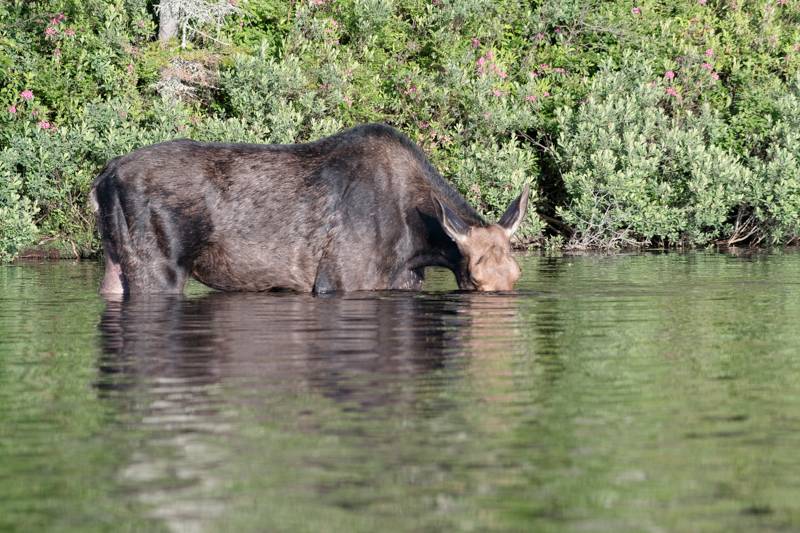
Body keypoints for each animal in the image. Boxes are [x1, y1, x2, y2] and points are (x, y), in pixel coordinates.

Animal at [90, 122, 528, 294]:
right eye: (474, 278)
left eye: (517, 274)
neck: (421, 246)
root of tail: (103, 176)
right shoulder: (338, 280)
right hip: (156, 268)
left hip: (116, 261)